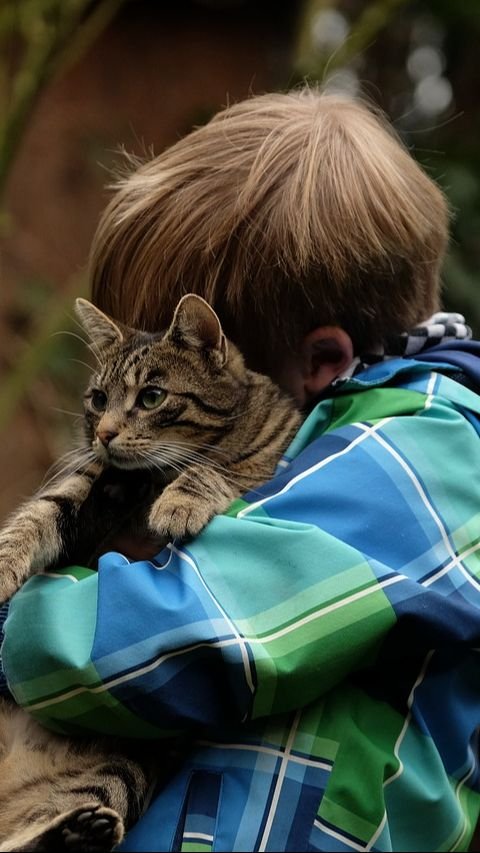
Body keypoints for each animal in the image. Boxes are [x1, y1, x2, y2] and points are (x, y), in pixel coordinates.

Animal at [0, 294, 302, 852]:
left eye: (152, 397)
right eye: (98, 399)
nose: (103, 433)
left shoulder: (264, 464)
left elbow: (218, 469)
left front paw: (180, 502)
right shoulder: (85, 483)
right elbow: (35, 516)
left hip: (126, 766)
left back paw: (79, 832)